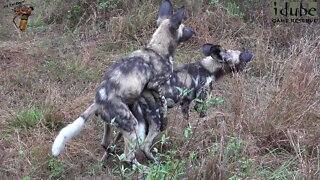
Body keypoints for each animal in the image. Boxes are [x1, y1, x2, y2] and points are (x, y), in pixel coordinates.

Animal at [51, 0, 192, 165]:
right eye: (184, 26)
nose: (193, 31)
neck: (157, 49)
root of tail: (98, 101)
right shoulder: (154, 85)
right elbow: (162, 103)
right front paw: (164, 120)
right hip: (131, 124)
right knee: (128, 156)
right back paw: (145, 167)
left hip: (112, 124)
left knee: (106, 143)